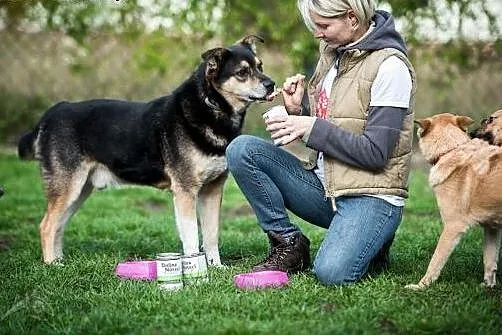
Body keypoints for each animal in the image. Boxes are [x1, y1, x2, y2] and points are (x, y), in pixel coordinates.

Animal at [17, 35, 274, 266]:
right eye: (242, 72)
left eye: (260, 66)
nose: (271, 84)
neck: (210, 105)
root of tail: (52, 113)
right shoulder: (185, 192)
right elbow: (191, 238)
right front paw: (197, 275)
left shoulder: (212, 190)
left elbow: (211, 235)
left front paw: (216, 268)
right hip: (68, 186)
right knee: (47, 225)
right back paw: (51, 265)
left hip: (80, 190)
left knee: (58, 225)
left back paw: (60, 261)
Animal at [408, 113, 502, 292]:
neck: (451, 150)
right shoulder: (491, 228)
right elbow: (489, 259)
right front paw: (488, 286)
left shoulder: (453, 227)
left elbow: (435, 260)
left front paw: (422, 285)